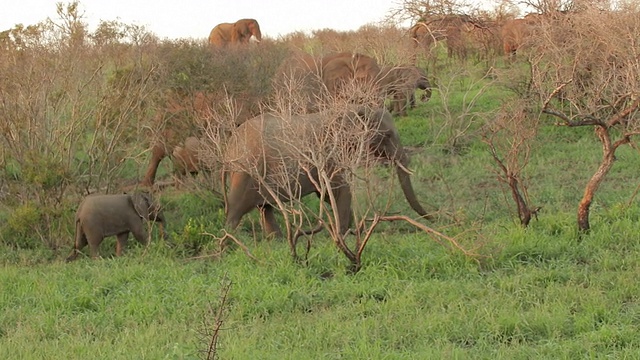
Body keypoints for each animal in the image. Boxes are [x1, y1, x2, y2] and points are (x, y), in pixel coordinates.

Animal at [224, 105, 430, 238]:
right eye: (387, 135)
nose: (433, 217)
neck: (353, 110)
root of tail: (231, 143)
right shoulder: (332, 155)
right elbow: (340, 190)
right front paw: (344, 233)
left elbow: (328, 195)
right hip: (245, 171)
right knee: (237, 209)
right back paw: (229, 240)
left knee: (265, 207)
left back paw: (277, 240)